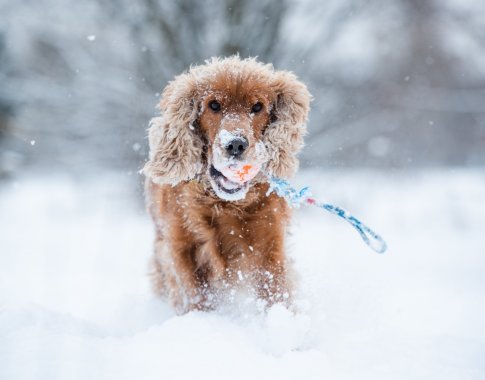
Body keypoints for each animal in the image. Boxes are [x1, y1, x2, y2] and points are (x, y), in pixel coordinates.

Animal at [144, 55, 310, 312]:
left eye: (257, 107)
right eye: (213, 105)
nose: (236, 144)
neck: (224, 204)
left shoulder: (269, 245)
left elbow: (275, 291)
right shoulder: (182, 248)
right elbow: (194, 296)